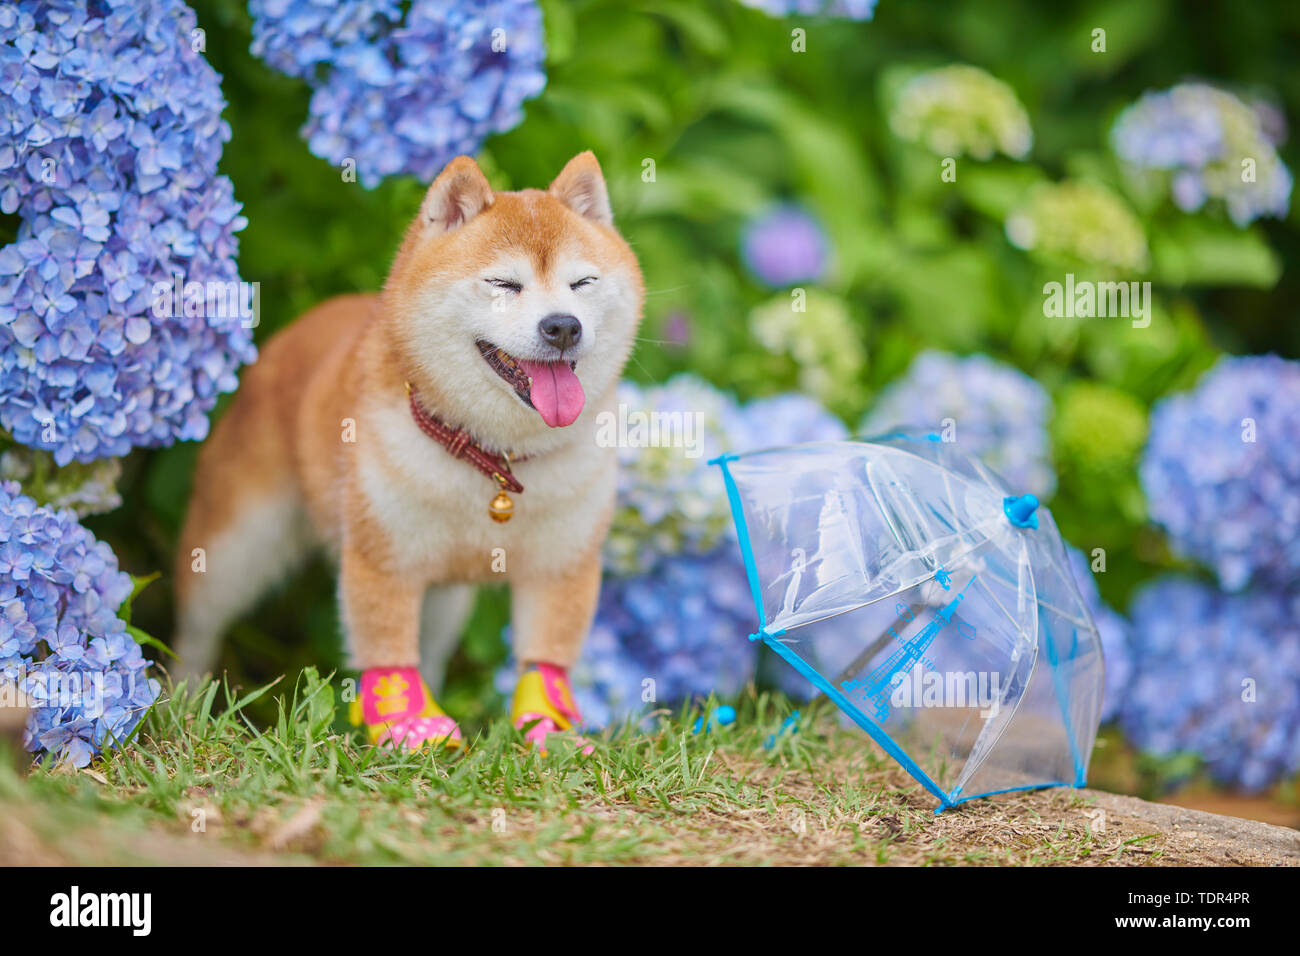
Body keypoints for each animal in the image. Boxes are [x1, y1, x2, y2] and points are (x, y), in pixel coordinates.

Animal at [175, 153, 642, 749]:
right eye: (503, 283)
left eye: (582, 282)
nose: (563, 325)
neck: (493, 460)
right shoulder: (383, 557)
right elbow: (388, 649)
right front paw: (409, 723)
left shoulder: (563, 563)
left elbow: (547, 658)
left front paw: (551, 729)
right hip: (234, 548)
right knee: (197, 631)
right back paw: (181, 707)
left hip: (444, 597)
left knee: (435, 649)